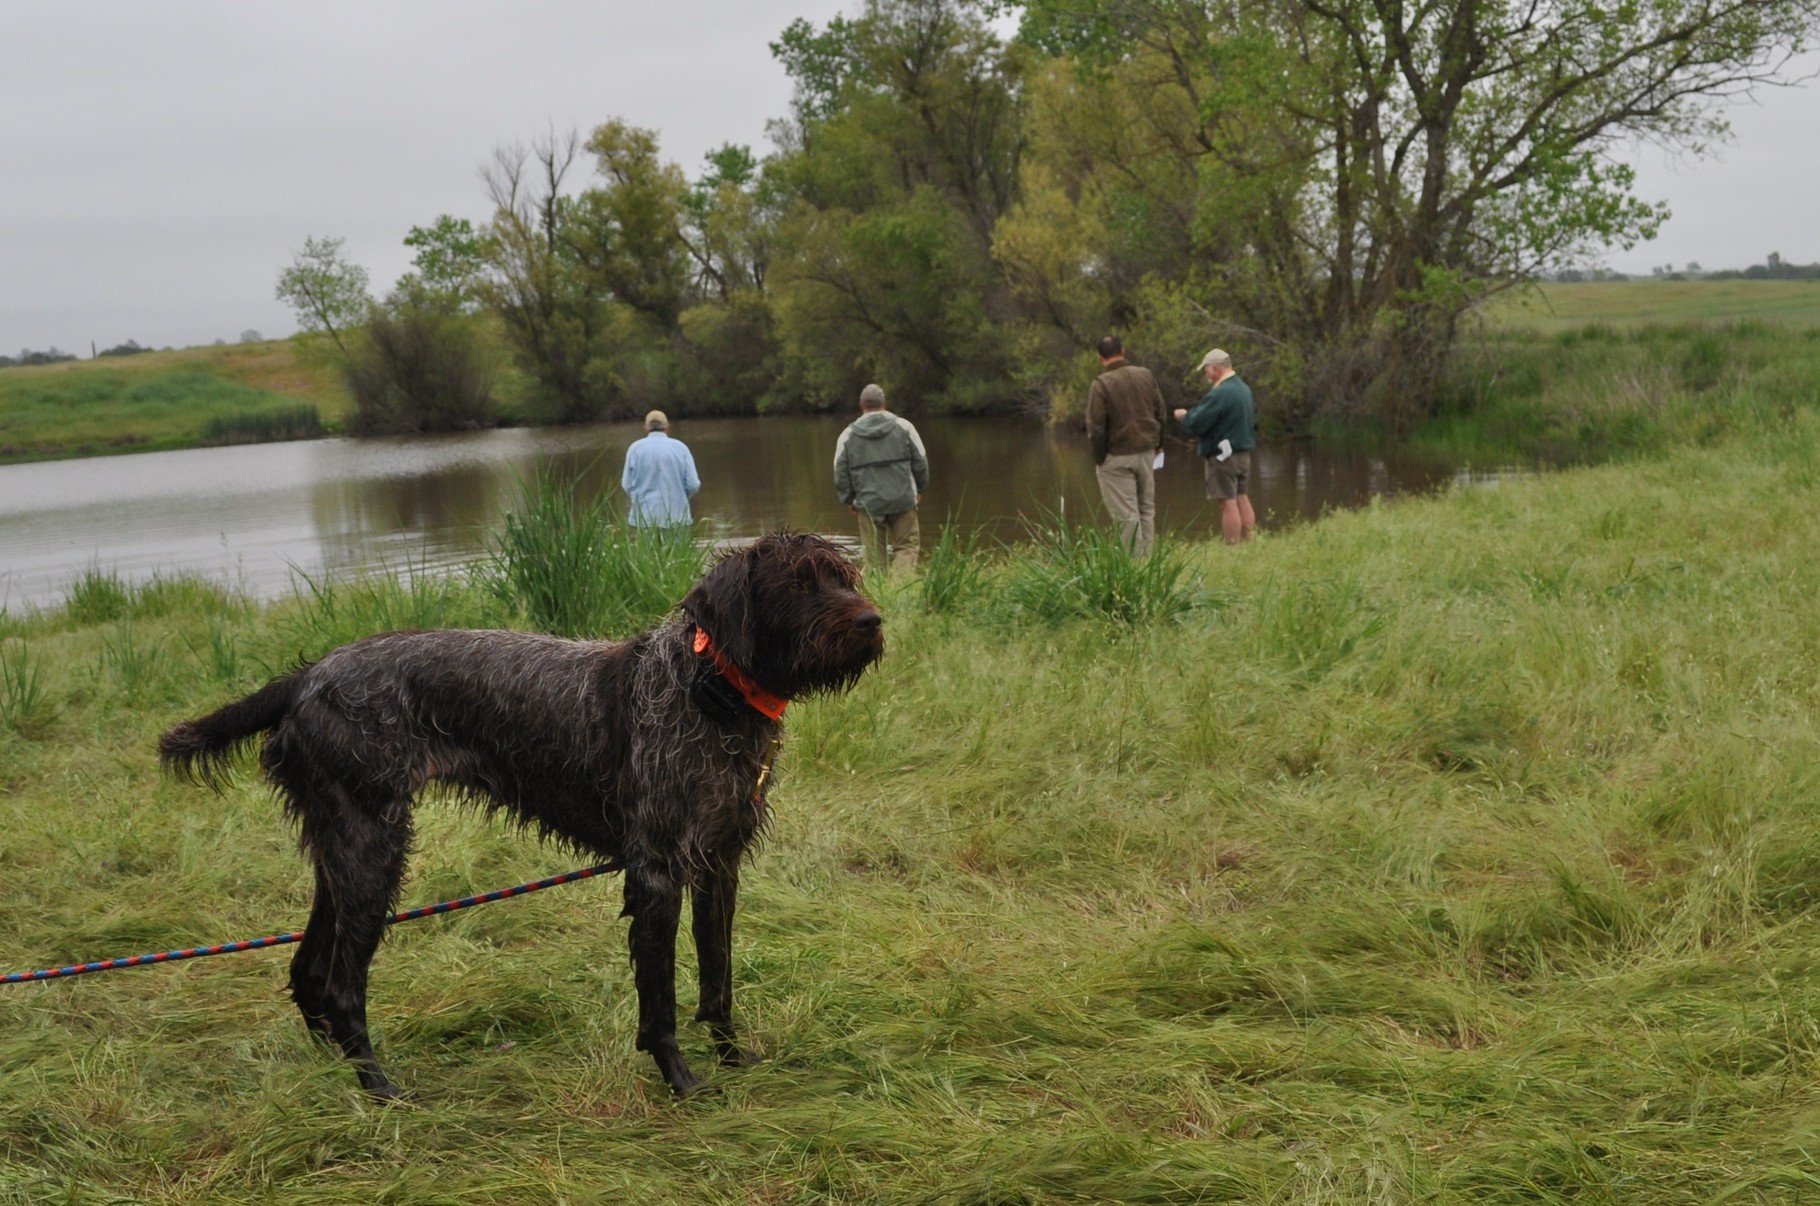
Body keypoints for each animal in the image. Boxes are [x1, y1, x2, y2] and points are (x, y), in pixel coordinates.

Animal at [160, 534, 884, 1098]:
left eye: (844, 577)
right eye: (798, 584)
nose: (873, 621)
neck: (708, 692)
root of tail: (307, 677)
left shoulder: (718, 865)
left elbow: (718, 981)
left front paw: (734, 1059)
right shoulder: (656, 873)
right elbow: (663, 1003)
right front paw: (682, 1082)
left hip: (342, 853)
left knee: (308, 971)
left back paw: (334, 1074)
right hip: (371, 854)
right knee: (340, 986)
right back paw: (377, 1086)